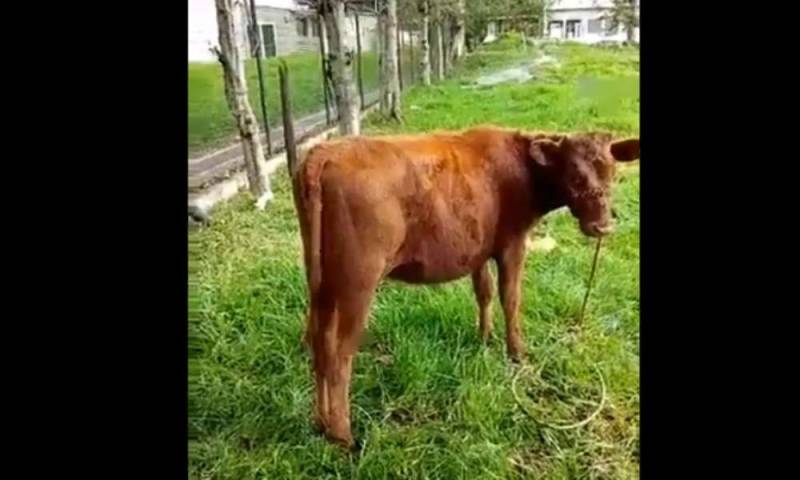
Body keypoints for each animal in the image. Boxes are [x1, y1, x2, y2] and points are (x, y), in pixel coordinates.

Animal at [292, 126, 640, 447]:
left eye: (612, 172)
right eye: (574, 175)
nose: (602, 227)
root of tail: (323, 153)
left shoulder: (478, 248)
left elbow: (483, 292)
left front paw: (484, 337)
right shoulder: (512, 242)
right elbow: (510, 298)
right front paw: (517, 353)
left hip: (323, 282)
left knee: (319, 344)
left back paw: (321, 423)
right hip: (357, 281)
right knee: (339, 355)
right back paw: (342, 435)